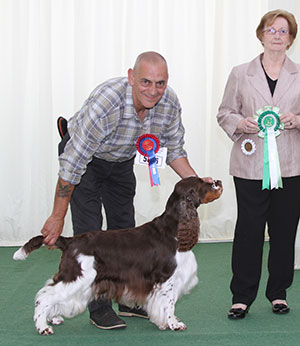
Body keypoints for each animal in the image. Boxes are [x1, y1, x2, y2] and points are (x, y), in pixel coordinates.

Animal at [12, 177, 221, 334]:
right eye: (203, 183)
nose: (218, 181)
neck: (174, 229)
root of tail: (70, 241)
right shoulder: (166, 278)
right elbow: (168, 304)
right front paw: (174, 324)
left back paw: (54, 318)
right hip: (77, 277)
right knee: (44, 296)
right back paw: (43, 326)